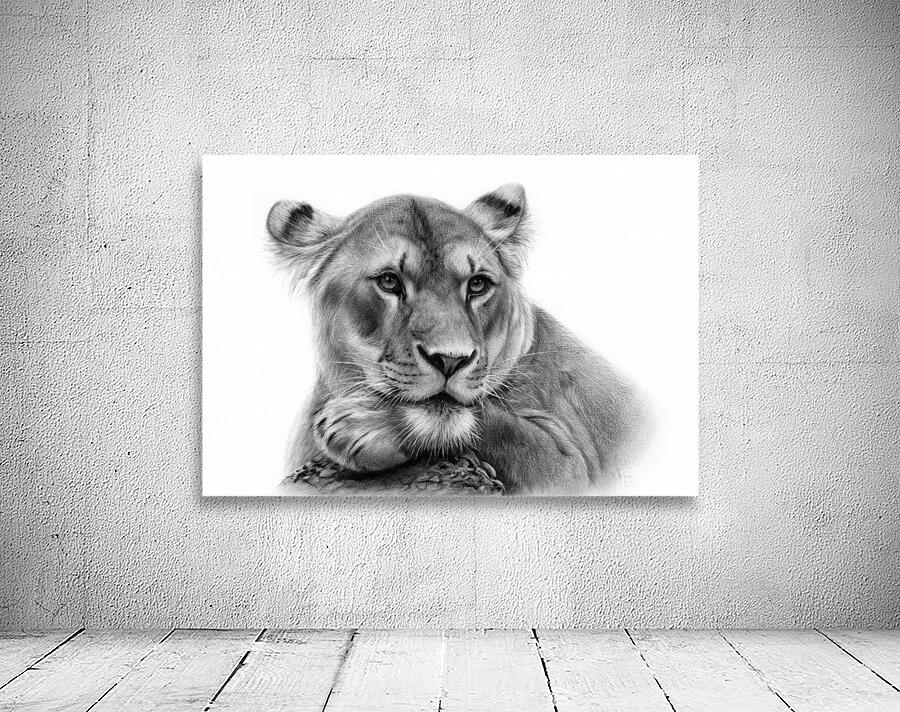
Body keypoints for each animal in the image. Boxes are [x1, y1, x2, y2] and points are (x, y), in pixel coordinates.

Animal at [265, 184, 649, 494]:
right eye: (389, 281)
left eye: (478, 284)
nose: (451, 360)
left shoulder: (572, 465)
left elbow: (497, 425)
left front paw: (363, 425)